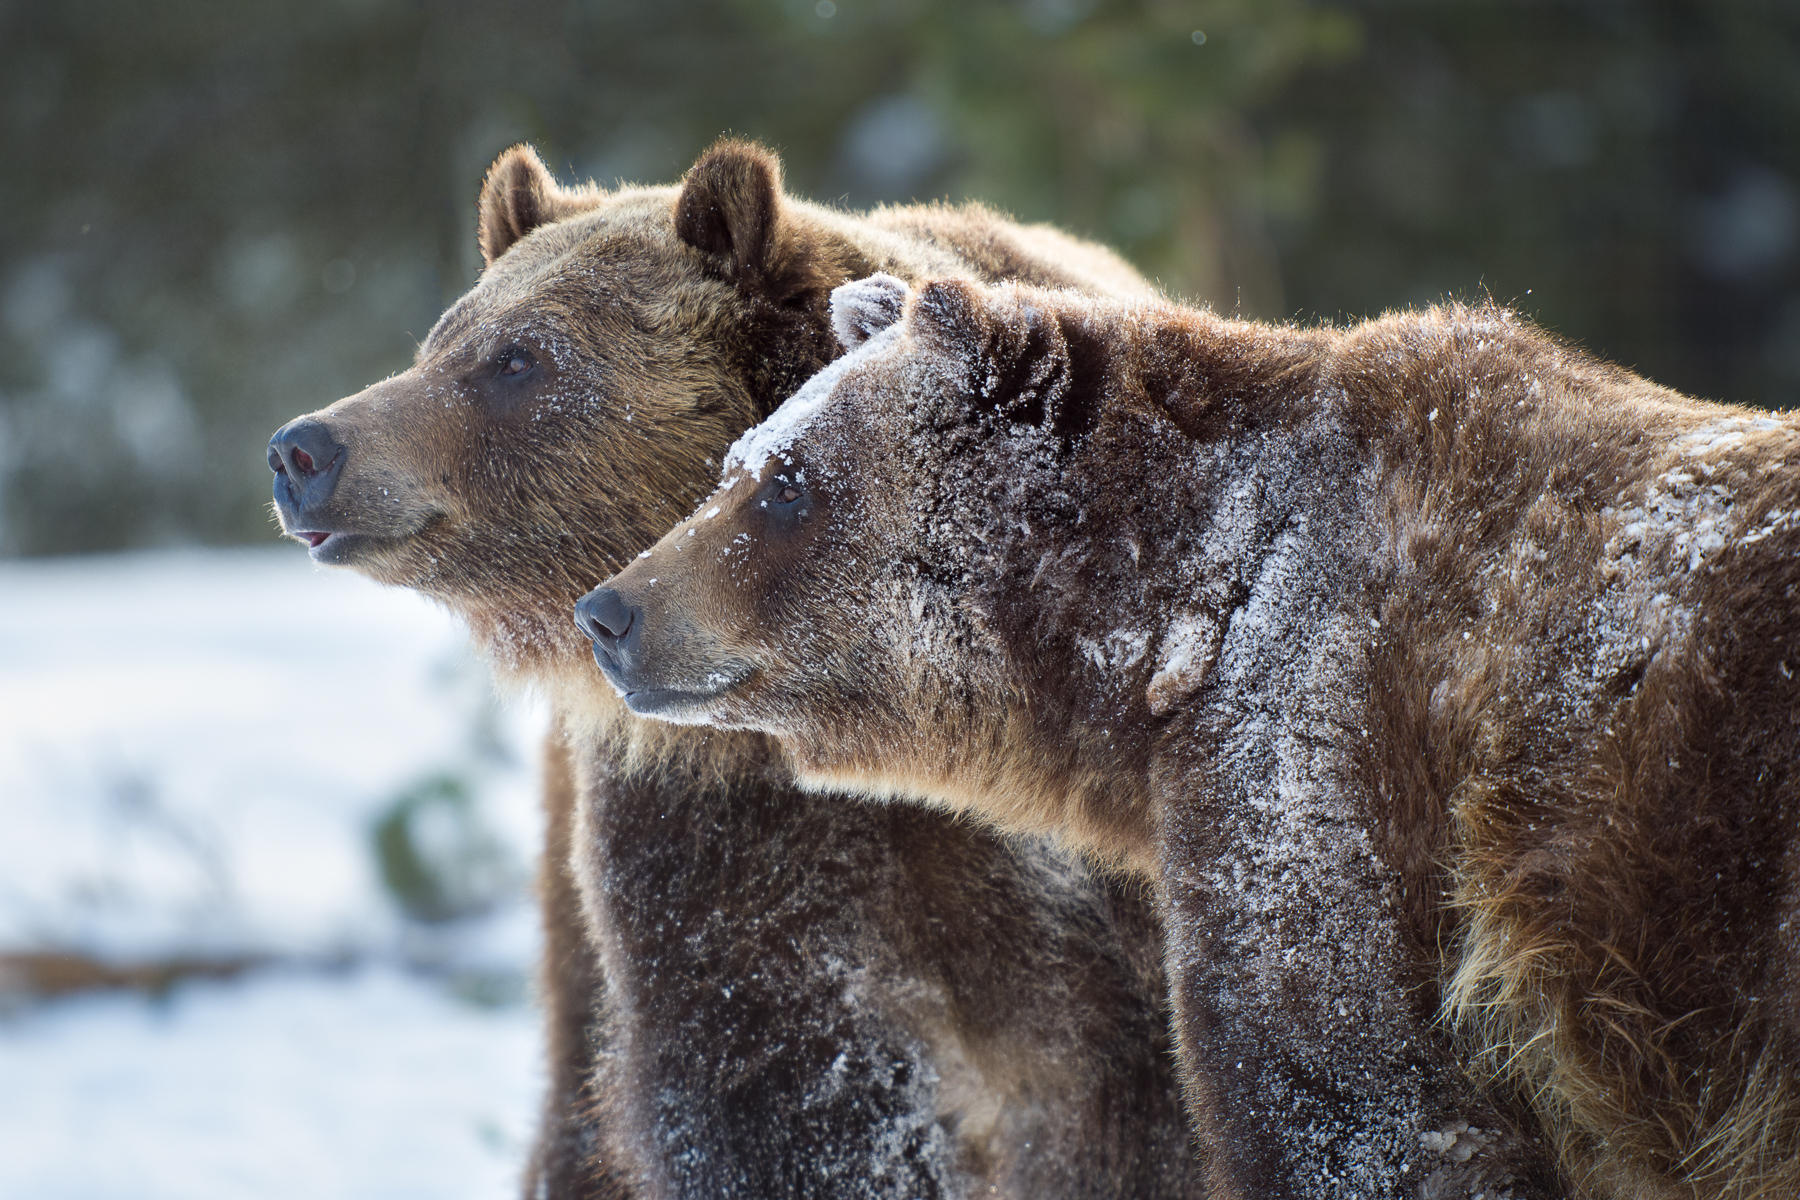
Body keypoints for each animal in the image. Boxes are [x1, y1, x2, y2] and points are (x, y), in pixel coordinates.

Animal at [583, 272, 1800, 1199]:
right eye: (737, 463)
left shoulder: (1325, 756)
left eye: (788, 485)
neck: (1186, 615)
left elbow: (1357, 1104)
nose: (612, 612)